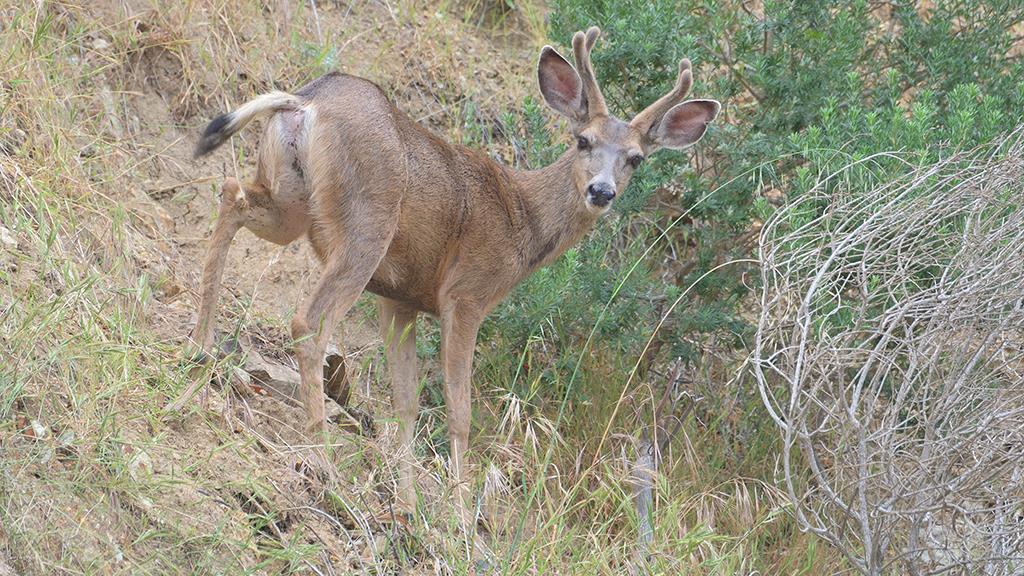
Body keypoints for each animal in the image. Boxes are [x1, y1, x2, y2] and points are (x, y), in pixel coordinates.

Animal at [192, 26, 720, 520]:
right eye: (583, 140)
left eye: (636, 158)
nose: (602, 191)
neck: (523, 220)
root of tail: (306, 101)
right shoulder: (467, 294)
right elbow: (459, 411)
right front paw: (462, 513)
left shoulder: (399, 297)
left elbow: (405, 402)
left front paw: (408, 504)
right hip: (367, 224)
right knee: (309, 321)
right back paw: (321, 457)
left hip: (290, 200)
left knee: (231, 192)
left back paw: (200, 348)